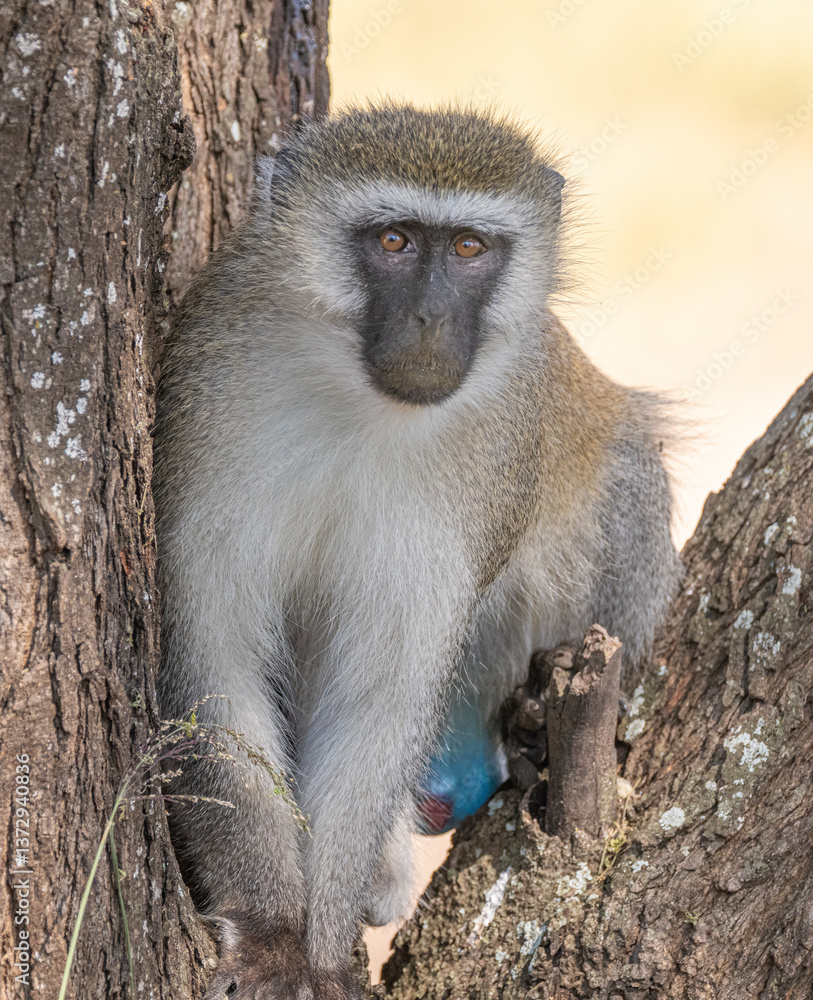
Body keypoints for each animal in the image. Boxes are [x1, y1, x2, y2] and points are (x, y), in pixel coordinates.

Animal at [153, 103, 681, 1000]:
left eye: (468, 248)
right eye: (394, 240)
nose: (431, 319)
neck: (362, 405)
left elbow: (381, 701)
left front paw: (321, 955)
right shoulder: (206, 411)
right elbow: (217, 667)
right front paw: (271, 935)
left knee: (626, 476)